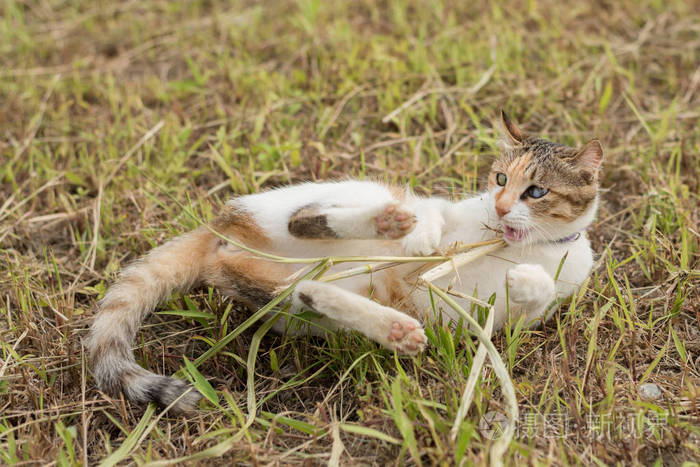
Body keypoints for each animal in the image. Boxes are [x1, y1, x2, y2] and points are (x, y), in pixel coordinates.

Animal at [86, 113, 600, 414]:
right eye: (499, 179)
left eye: (536, 191)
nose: (500, 207)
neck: (514, 244)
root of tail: (219, 234)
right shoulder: (450, 206)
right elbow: (435, 214)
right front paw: (426, 239)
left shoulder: (523, 318)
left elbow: (539, 295)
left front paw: (526, 279)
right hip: (346, 194)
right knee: (302, 219)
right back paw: (390, 224)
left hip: (295, 302)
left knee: (302, 290)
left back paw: (395, 329)